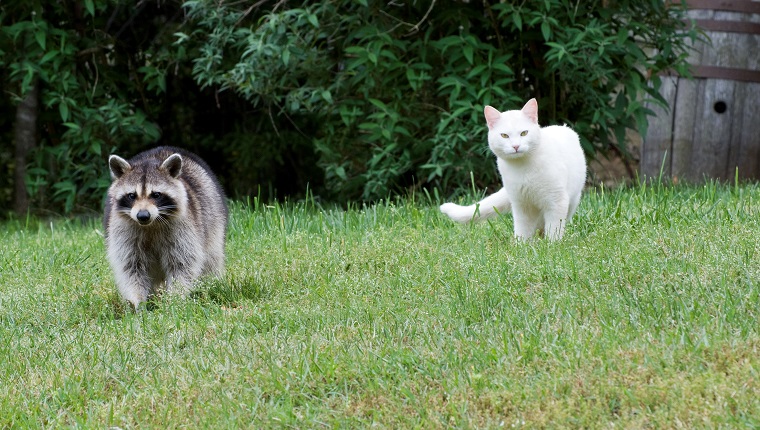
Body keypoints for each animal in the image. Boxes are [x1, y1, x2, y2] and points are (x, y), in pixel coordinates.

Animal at [104, 148, 229, 310]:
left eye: (156, 195)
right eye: (132, 195)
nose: (142, 215)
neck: (150, 225)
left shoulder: (184, 230)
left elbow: (182, 265)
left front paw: (175, 300)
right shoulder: (123, 233)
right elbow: (132, 268)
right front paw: (138, 301)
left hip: (213, 220)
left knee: (212, 258)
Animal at [440, 98, 588, 242]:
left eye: (524, 133)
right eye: (504, 135)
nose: (516, 146)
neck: (523, 169)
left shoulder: (556, 201)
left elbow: (554, 229)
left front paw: (552, 246)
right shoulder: (521, 205)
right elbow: (523, 230)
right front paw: (521, 247)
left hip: (572, 201)